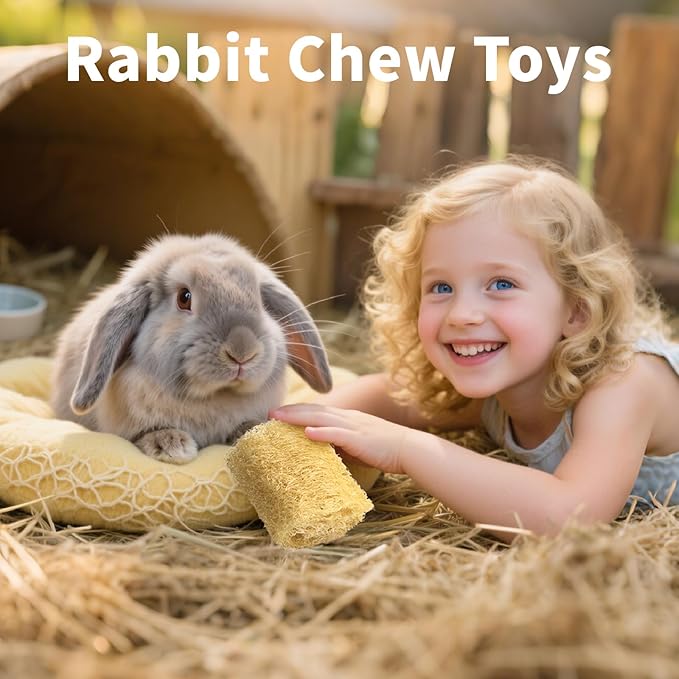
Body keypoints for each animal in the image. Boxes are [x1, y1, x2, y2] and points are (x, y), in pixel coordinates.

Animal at [50, 233, 332, 464]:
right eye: (184, 298)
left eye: (261, 302)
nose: (242, 352)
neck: (213, 398)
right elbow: (145, 433)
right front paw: (171, 445)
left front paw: (251, 429)